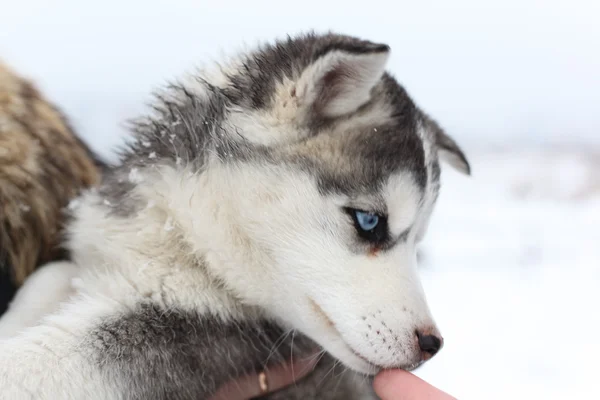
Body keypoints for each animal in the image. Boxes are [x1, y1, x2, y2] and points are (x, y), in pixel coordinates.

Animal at [0, 32, 468, 398]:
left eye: (417, 241)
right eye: (370, 222)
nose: (431, 343)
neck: (185, 241)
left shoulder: (190, 337)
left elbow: (32, 363)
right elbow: (51, 275)